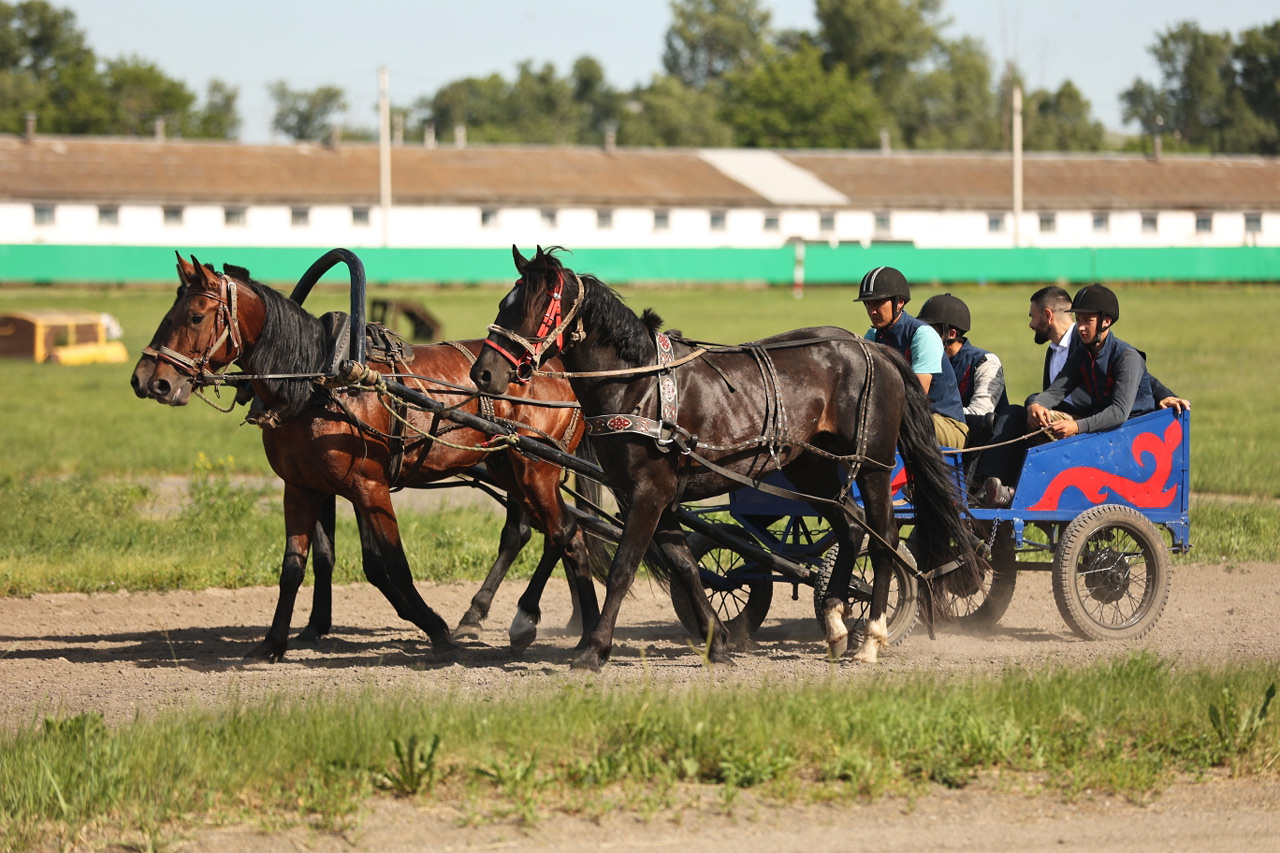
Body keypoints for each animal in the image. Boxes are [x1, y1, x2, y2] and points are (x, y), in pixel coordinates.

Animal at [133, 252, 604, 655]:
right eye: (169, 313)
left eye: (195, 316)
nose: (148, 380)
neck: (322, 381)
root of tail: (558, 366)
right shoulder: (302, 487)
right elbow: (296, 564)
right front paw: (275, 641)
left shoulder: (369, 486)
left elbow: (389, 563)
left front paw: (433, 626)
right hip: (510, 466)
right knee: (541, 531)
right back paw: (509, 616)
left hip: (537, 467)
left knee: (562, 532)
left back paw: (529, 619)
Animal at [473, 245, 977, 671]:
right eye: (503, 304)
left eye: (535, 309)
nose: (483, 373)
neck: (641, 385)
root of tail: (874, 348)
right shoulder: (657, 496)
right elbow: (686, 567)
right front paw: (717, 642)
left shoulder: (649, 493)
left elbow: (622, 569)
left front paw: (594, 649)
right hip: (810, 467)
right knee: (851, 528)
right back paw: (836, 623)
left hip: (871, 465)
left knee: (884, 535)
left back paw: (870, 635)